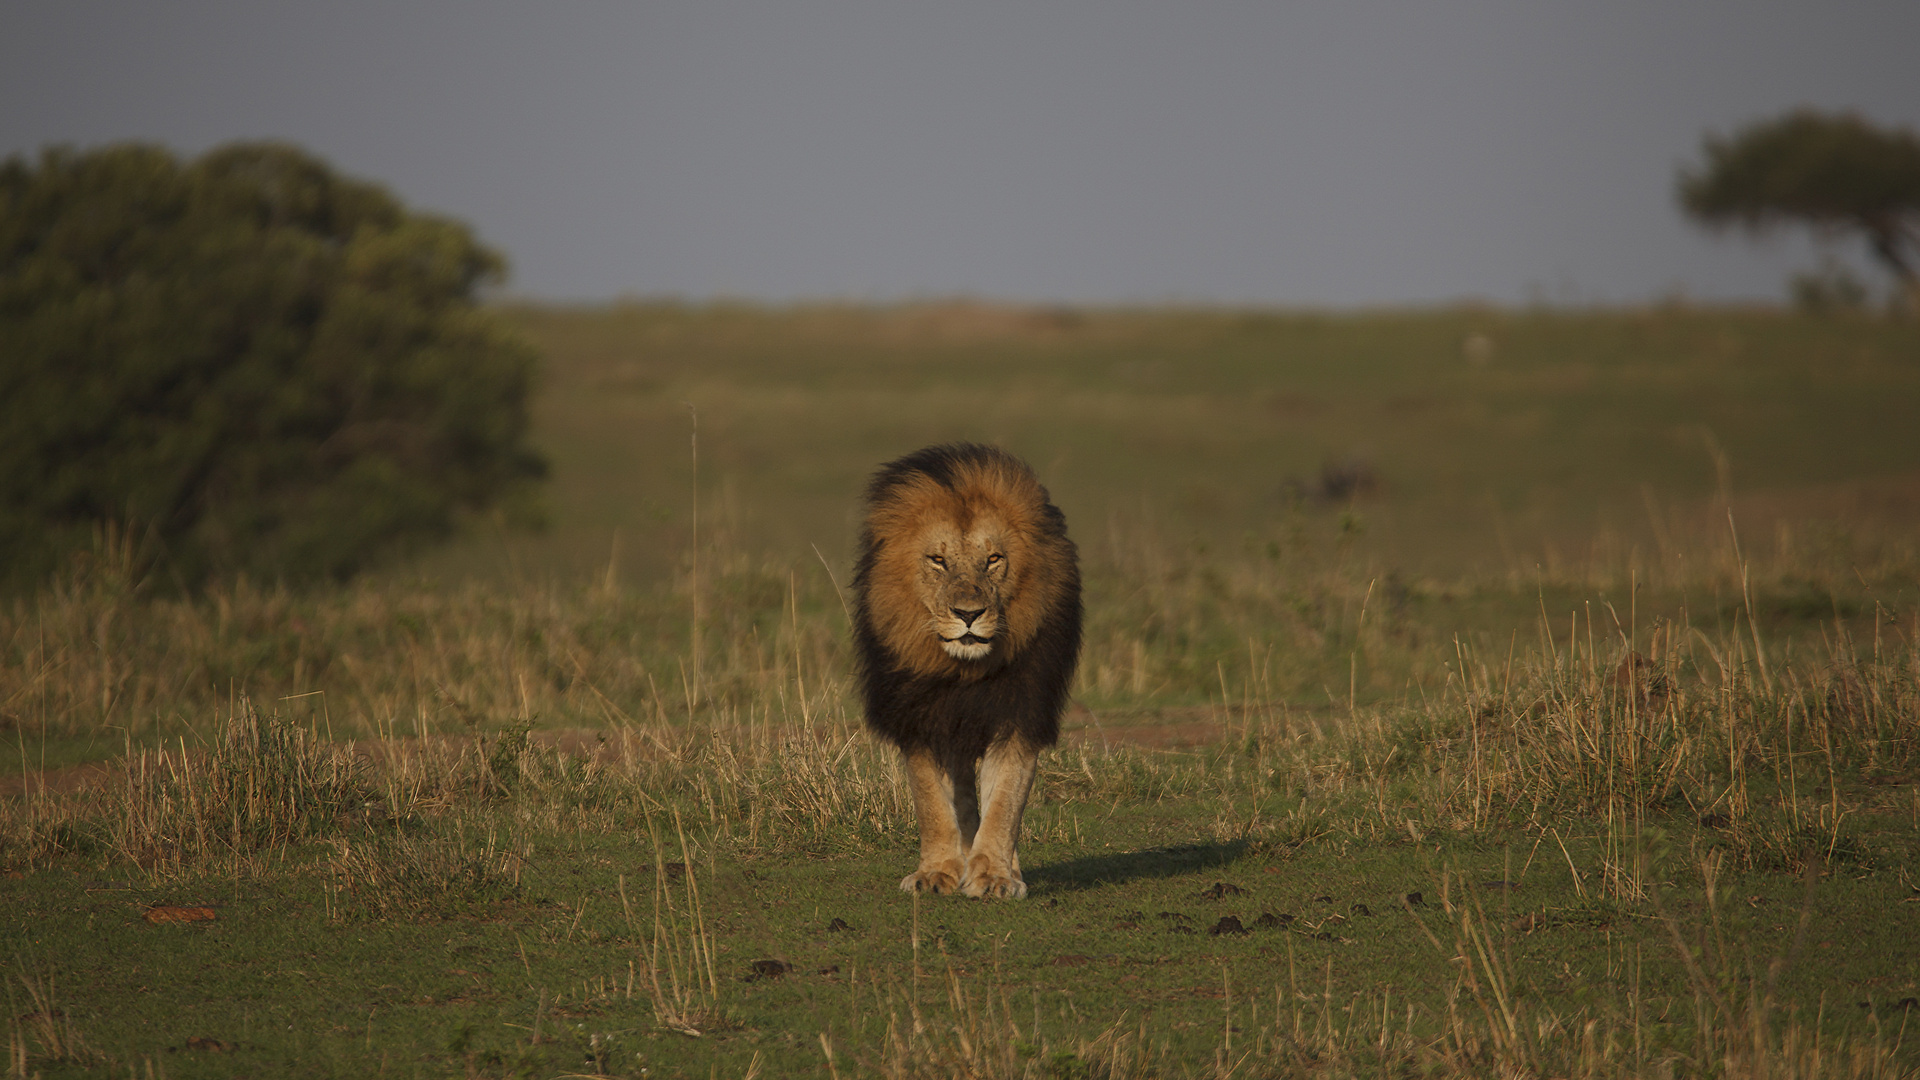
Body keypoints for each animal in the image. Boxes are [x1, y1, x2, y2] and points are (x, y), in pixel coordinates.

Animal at [852, 441, 1082, 895]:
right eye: (938, 560)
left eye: (993, 559)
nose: (969, 614)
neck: (964, 672)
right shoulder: (920, 717)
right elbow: (932, 804)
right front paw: (936, 872)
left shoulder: (1019, 713)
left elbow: (1006, 800)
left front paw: (994, 874)